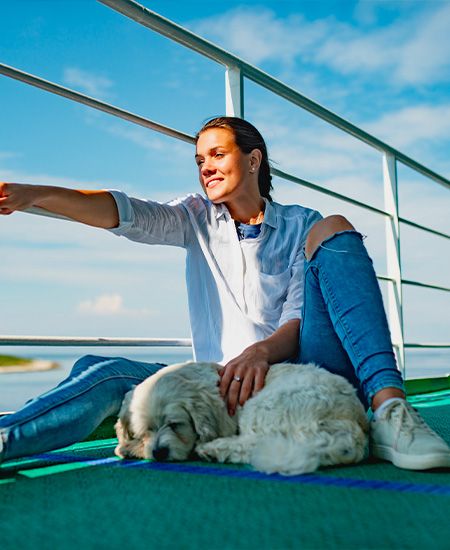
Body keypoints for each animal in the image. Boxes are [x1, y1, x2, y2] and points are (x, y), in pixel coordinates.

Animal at [115, 362, 370, 474]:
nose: (159, 452)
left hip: (264, 406)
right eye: (145, 431)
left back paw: (213, 450)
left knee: (256, 443)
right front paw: (132, 445)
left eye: (175, 425)